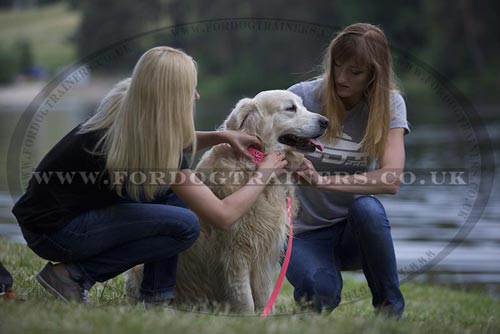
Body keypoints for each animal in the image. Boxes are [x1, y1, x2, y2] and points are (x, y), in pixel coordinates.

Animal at [124, 88, 326, 314]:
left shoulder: (265, 252)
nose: (325, 121)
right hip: (138, 271)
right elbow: (246, 300)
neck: (254, 163)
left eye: (303, 104)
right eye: (290, 108)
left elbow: (265, 299)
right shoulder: (236, 252)